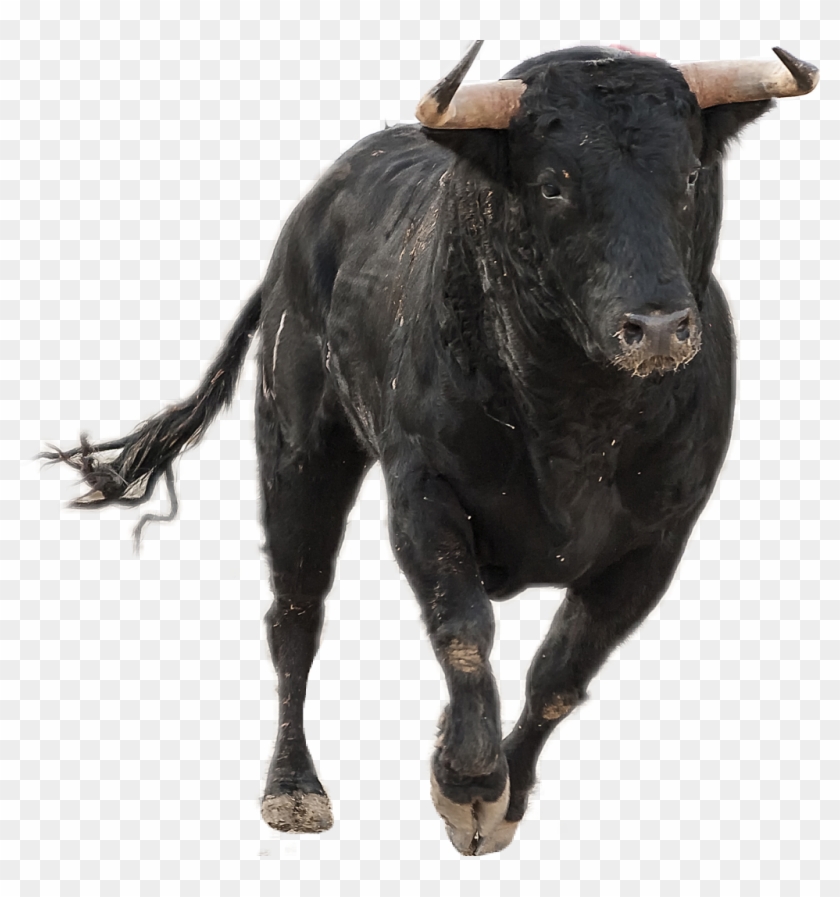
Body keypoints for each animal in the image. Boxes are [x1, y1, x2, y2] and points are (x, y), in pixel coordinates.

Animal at [42, 42, 818, 855]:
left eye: (692, 176)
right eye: (553, 184)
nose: (660, 327)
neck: (576, 419)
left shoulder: (658, 541)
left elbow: (562, 670)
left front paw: (503, 796)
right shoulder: (423, 491)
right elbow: (465, 629)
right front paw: (468, 785)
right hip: (297, 452)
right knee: (295, 615)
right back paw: (293, 787)